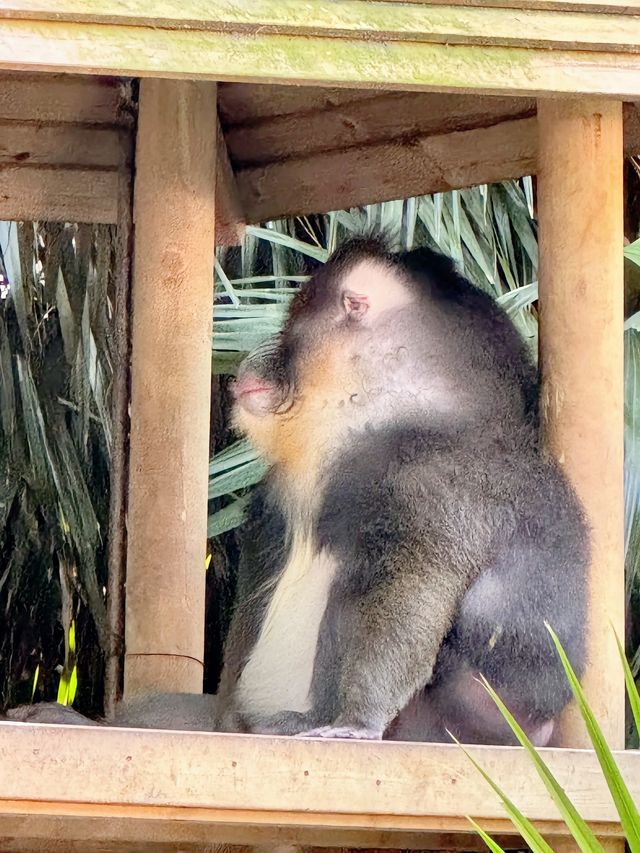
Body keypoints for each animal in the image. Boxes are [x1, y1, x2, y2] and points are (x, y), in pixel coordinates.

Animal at [216, 235, 592, 744]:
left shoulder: (433, 490)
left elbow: (414, 588)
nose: (249, 362)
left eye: (293, 323)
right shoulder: (273, 504)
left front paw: (357, 722)